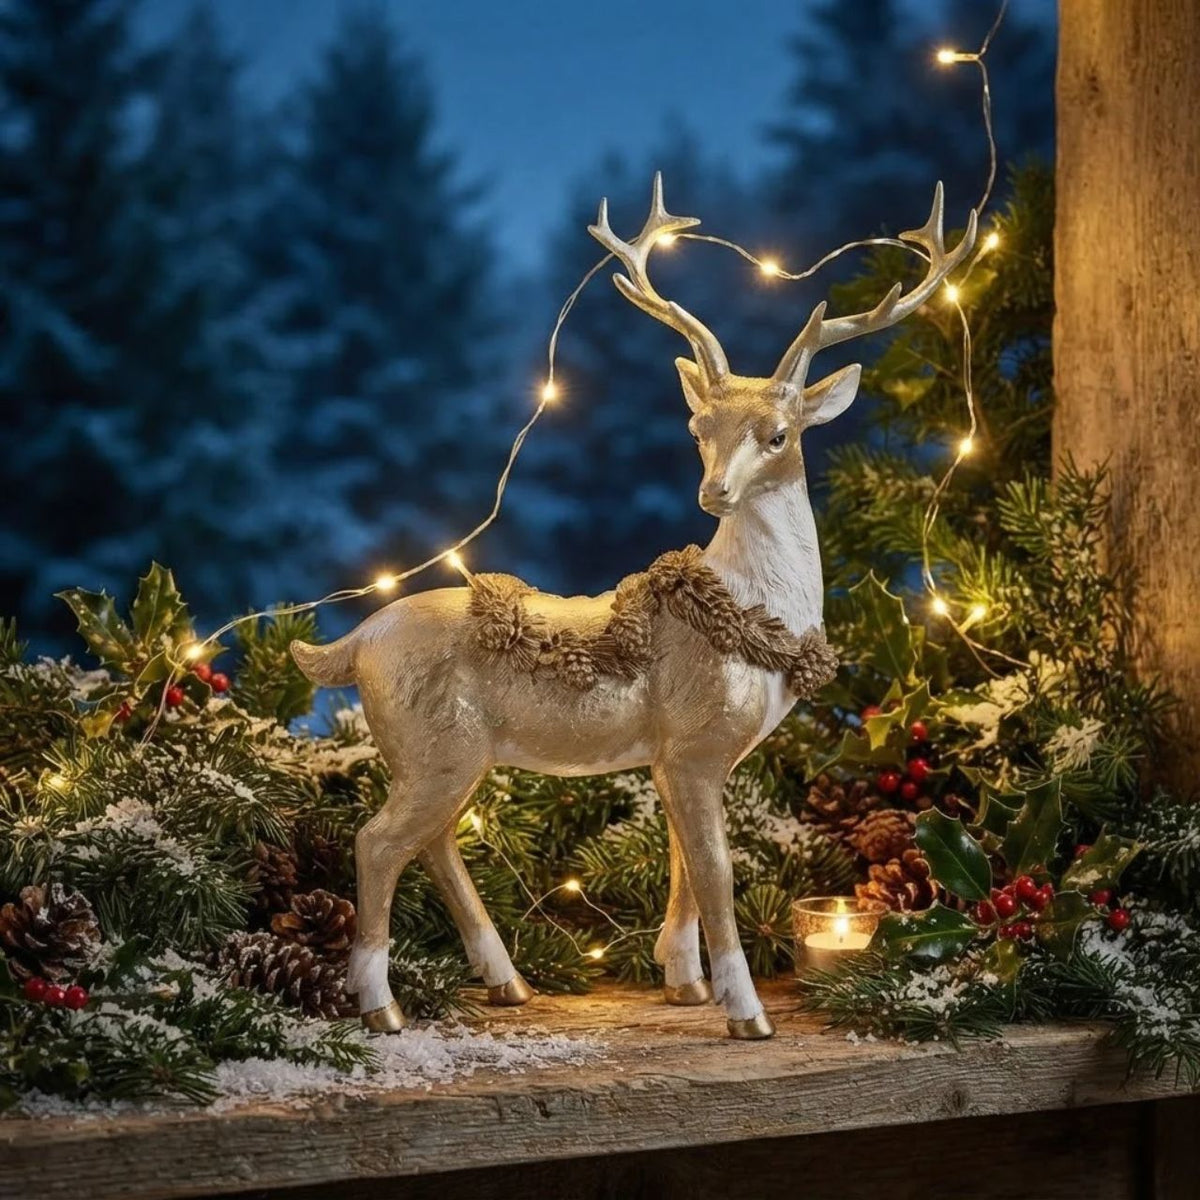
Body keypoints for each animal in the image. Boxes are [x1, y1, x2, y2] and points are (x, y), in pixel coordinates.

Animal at [291, 175, 976, 1039]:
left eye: (777, 433)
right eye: (697, 425)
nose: (714, 491)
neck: (750, 612)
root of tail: (357, 641)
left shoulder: (674, 753)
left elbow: (682, 865)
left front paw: (683, 980)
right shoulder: (694, 745)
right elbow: (716, 873)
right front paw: (745, 1012)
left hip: (443, 753)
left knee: (435, 843)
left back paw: (507, 981)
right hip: (434, 745)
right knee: (377, 842)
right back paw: (383, 1007)